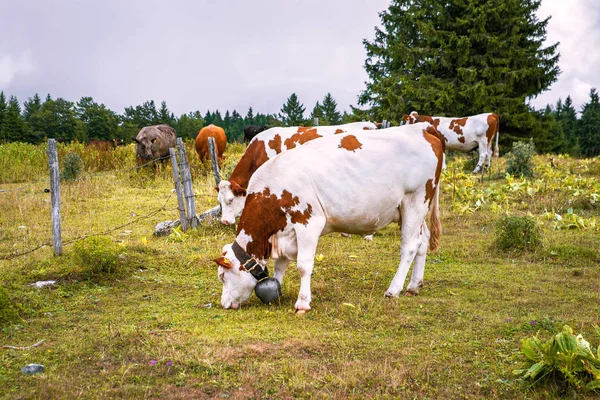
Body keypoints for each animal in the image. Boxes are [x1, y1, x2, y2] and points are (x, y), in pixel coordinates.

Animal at [214, 123, 446, 310]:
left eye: (223, 276)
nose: (224, 304)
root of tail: (422, 128)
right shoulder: (284, 230)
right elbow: (281, 264)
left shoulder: (308, 222)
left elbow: (303, 265)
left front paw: (303, 302)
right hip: (411, 209)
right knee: (423, 240)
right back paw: (414, 285)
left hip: (415, 200)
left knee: (409, 246)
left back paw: (394, 289)